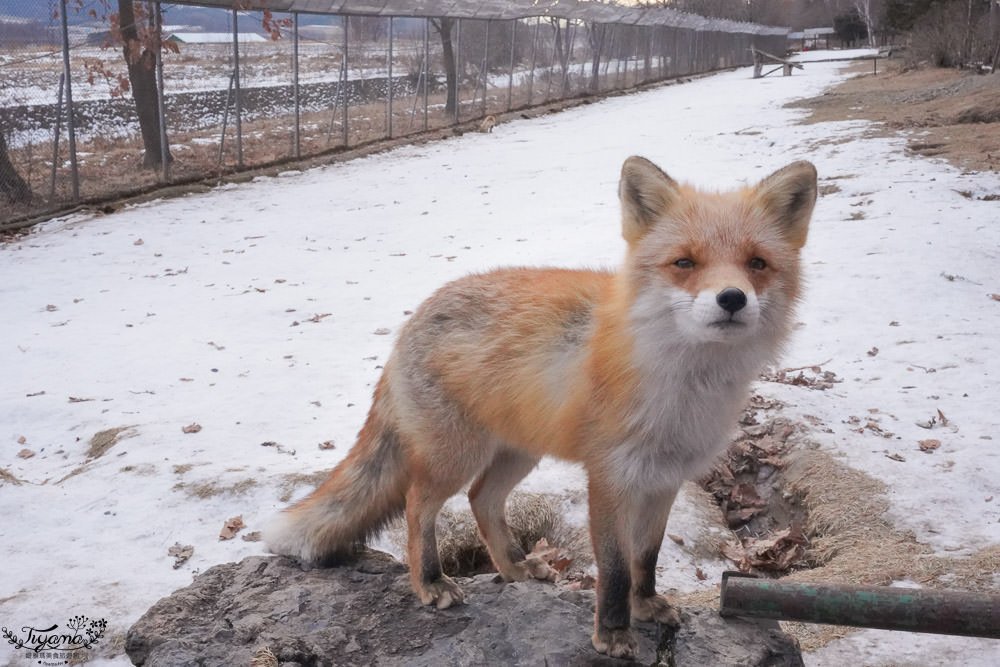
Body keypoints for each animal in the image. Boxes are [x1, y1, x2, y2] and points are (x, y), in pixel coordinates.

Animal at [266, 154, 812, 660]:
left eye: (757, 263)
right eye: (685, 263)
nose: (732, 298)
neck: (684, 385)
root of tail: (414, 316)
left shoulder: (665, 479)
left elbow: (647, 558)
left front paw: (645, 606)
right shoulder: (610, 478)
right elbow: (615, 569)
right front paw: (613, 633)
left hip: (519, 452)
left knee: (481, 499)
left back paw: (513, 567)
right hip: (453, 457)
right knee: (417, 505)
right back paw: (430, 582)